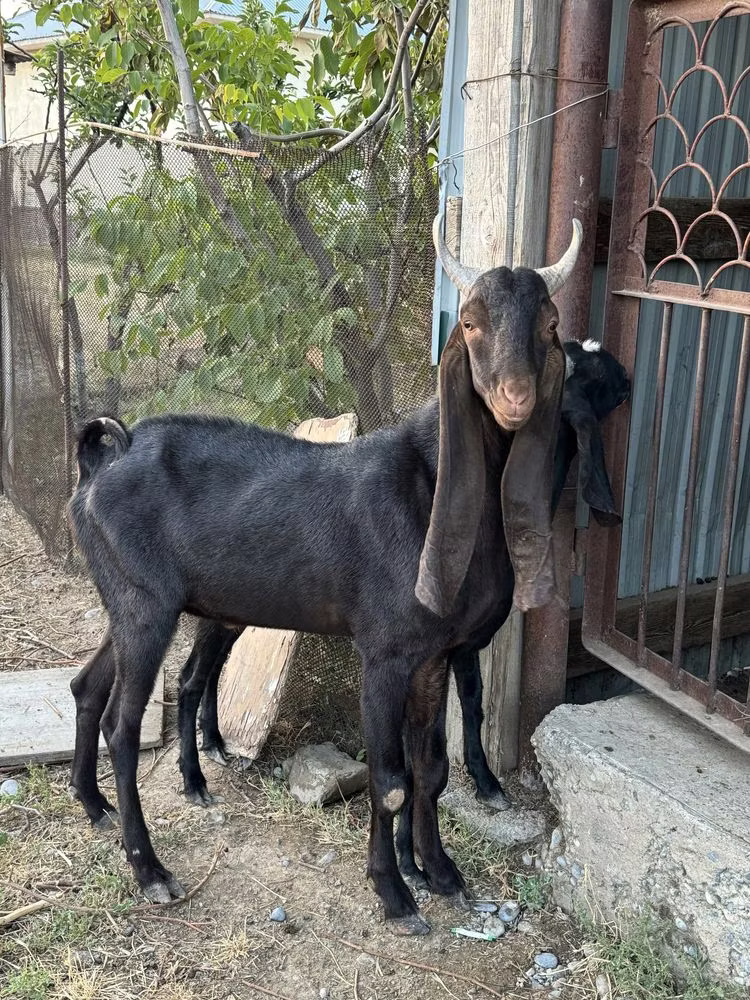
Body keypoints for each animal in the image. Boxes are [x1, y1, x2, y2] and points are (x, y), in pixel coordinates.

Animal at [67, 216, 582, 935]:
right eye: (471, 322)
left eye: (550, 321)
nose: (516, 398)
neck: (429, 487)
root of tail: (100, 463)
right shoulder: (384, 652)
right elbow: (391, 781)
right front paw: (395, 896)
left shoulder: (433, 654)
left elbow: (431, 768)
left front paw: (441, 874)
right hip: (147, 607)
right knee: (122, 724)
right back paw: (151, 870)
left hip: (127, 598)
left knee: (87, 685)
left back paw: (94, 806)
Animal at [173, 338, 631, 823]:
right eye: (580, 370)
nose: (626, 375)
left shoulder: (459, 641)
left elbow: (472, 705)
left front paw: (486, 783)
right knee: (190, 677)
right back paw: (195, 779)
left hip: (230, 605)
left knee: (209, 667)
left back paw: (214, 742)